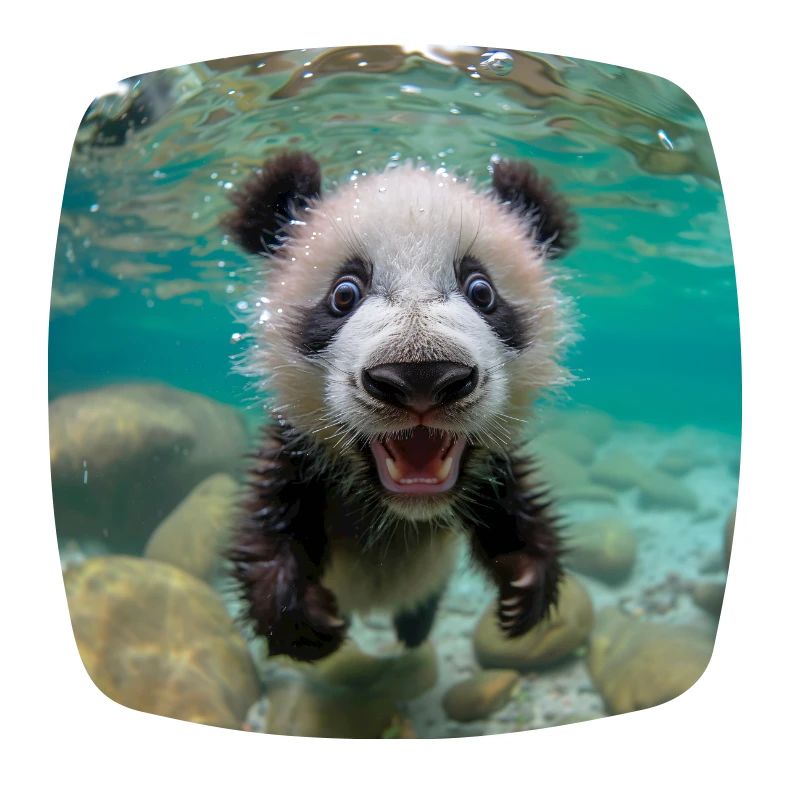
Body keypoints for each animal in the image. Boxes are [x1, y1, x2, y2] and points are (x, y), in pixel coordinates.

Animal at [223, 150, 577, 662]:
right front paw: (301, 620)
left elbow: (520, 511)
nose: (421, 376)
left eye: (482, 291)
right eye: (344, 294)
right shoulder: (296, 451)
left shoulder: (495, 465)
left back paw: (413, 627)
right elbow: (266, 530)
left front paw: (525, 588)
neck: (401, 511)